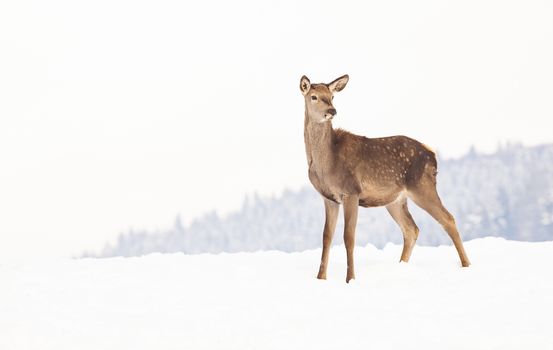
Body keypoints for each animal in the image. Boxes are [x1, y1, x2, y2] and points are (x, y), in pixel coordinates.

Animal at [300, 74, 472, 282]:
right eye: (314, 96)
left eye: (332, 96)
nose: (331, 111)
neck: (325, 163)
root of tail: (432, 154)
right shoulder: (329, 198)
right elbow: (326, 236)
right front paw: (320, 278)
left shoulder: (351, 191)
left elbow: (349, 236)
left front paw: (350, 279)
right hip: (396, 200)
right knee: (411, 229)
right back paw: (401, 266)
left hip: (422, 186)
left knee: (448, 219)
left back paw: (466, 265)